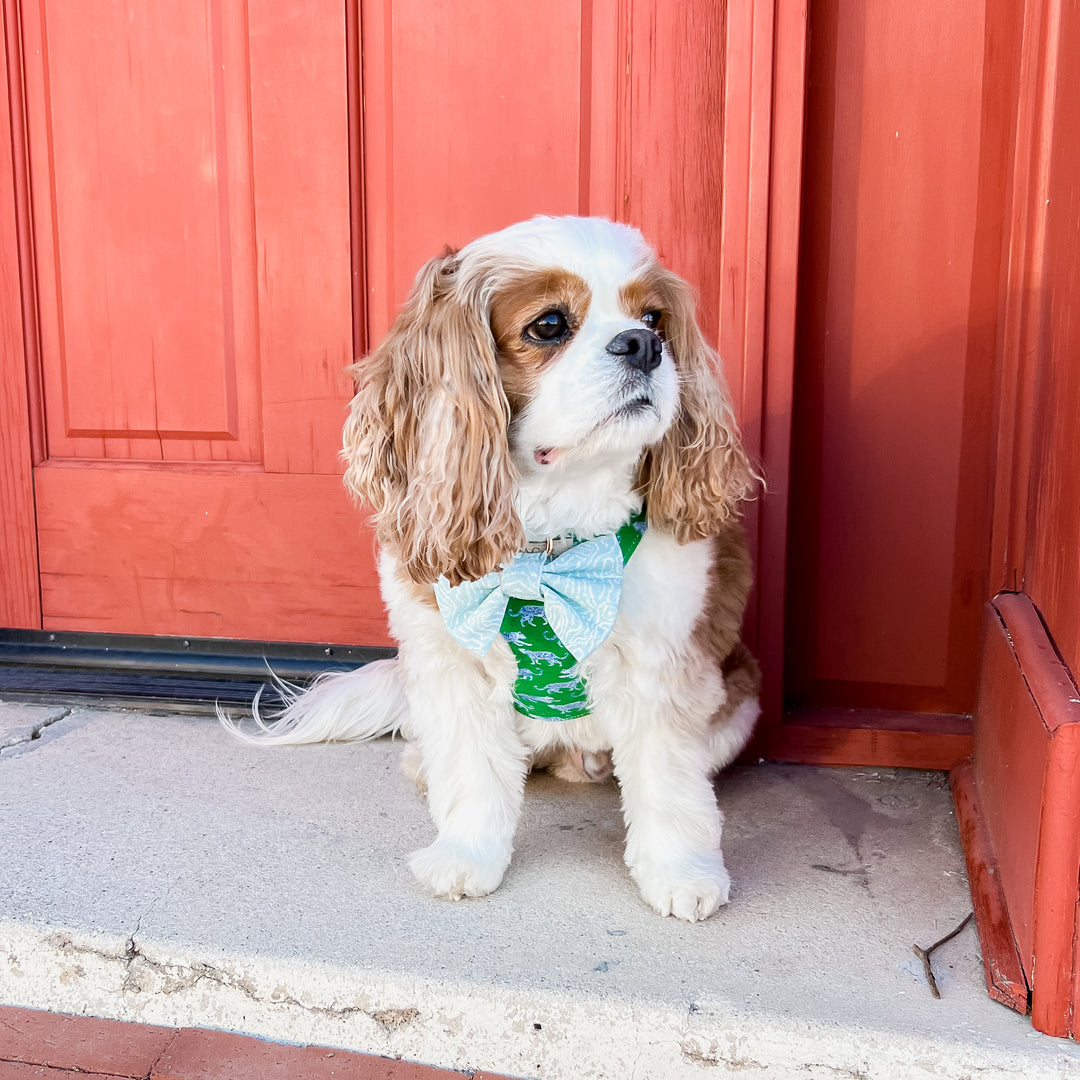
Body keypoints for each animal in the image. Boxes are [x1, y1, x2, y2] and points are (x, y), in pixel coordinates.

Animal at [221, 217, 760, 920]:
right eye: (550, 325)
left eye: (654, 317)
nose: (643, 344)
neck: (549, 552)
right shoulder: (452, 668)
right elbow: (473, 774)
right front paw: (466, 857)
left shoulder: (664, 669)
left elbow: (668, 784)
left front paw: (681, 874)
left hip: (739, 702)